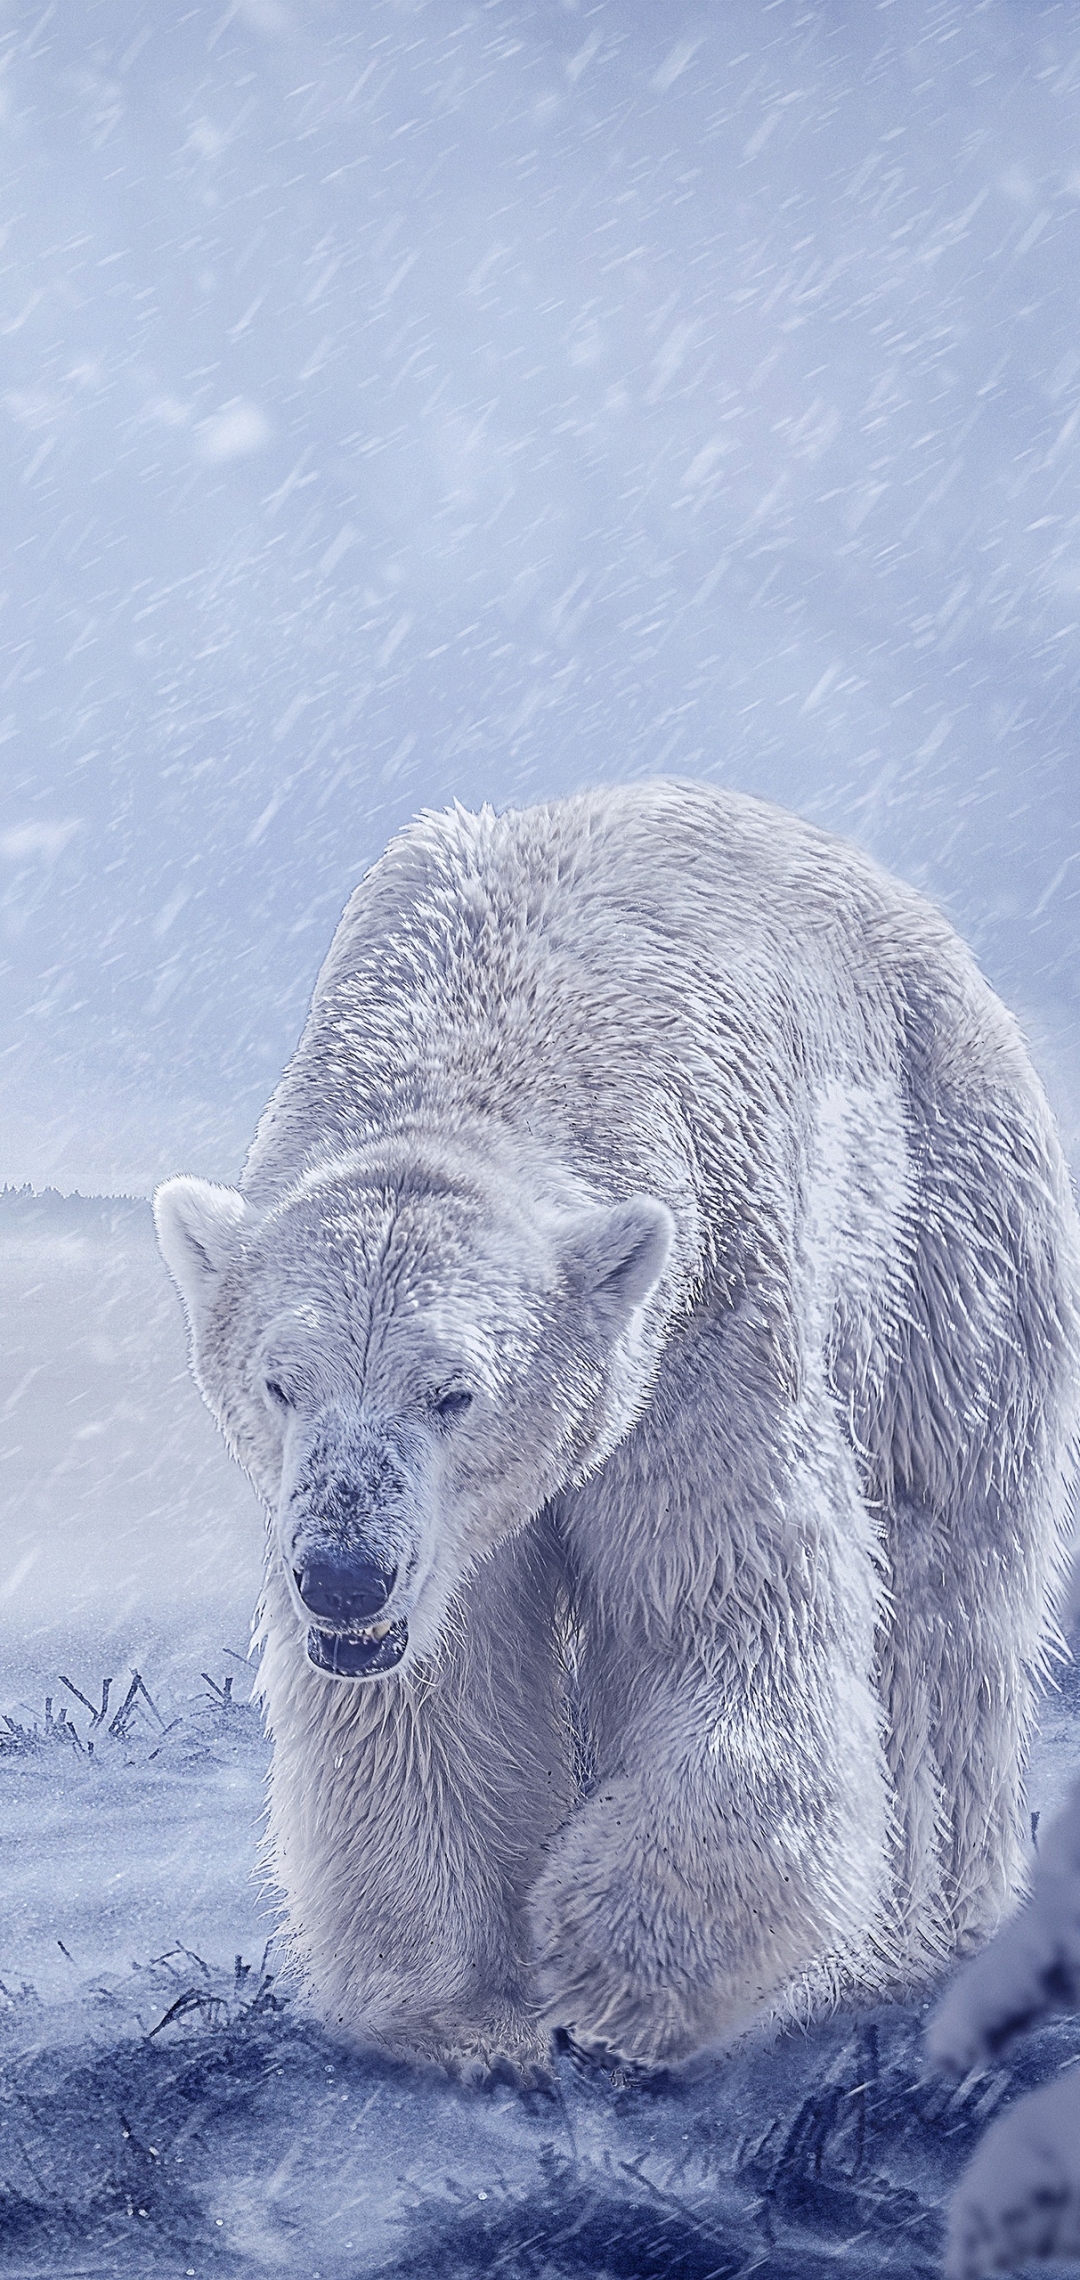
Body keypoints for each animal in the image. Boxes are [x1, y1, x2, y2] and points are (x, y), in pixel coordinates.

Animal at [155, 779, 1080, 2074]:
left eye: (455, 1391)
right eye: (281, 1383)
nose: (342, 1576)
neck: (490, 1033)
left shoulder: (709, 1323)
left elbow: (723, 1606)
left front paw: (609, 1977)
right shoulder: (446, 1533)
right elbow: (437, 1680)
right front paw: (461, 2006)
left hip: (950, 1242)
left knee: (946, 1591)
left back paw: (913, 1939)